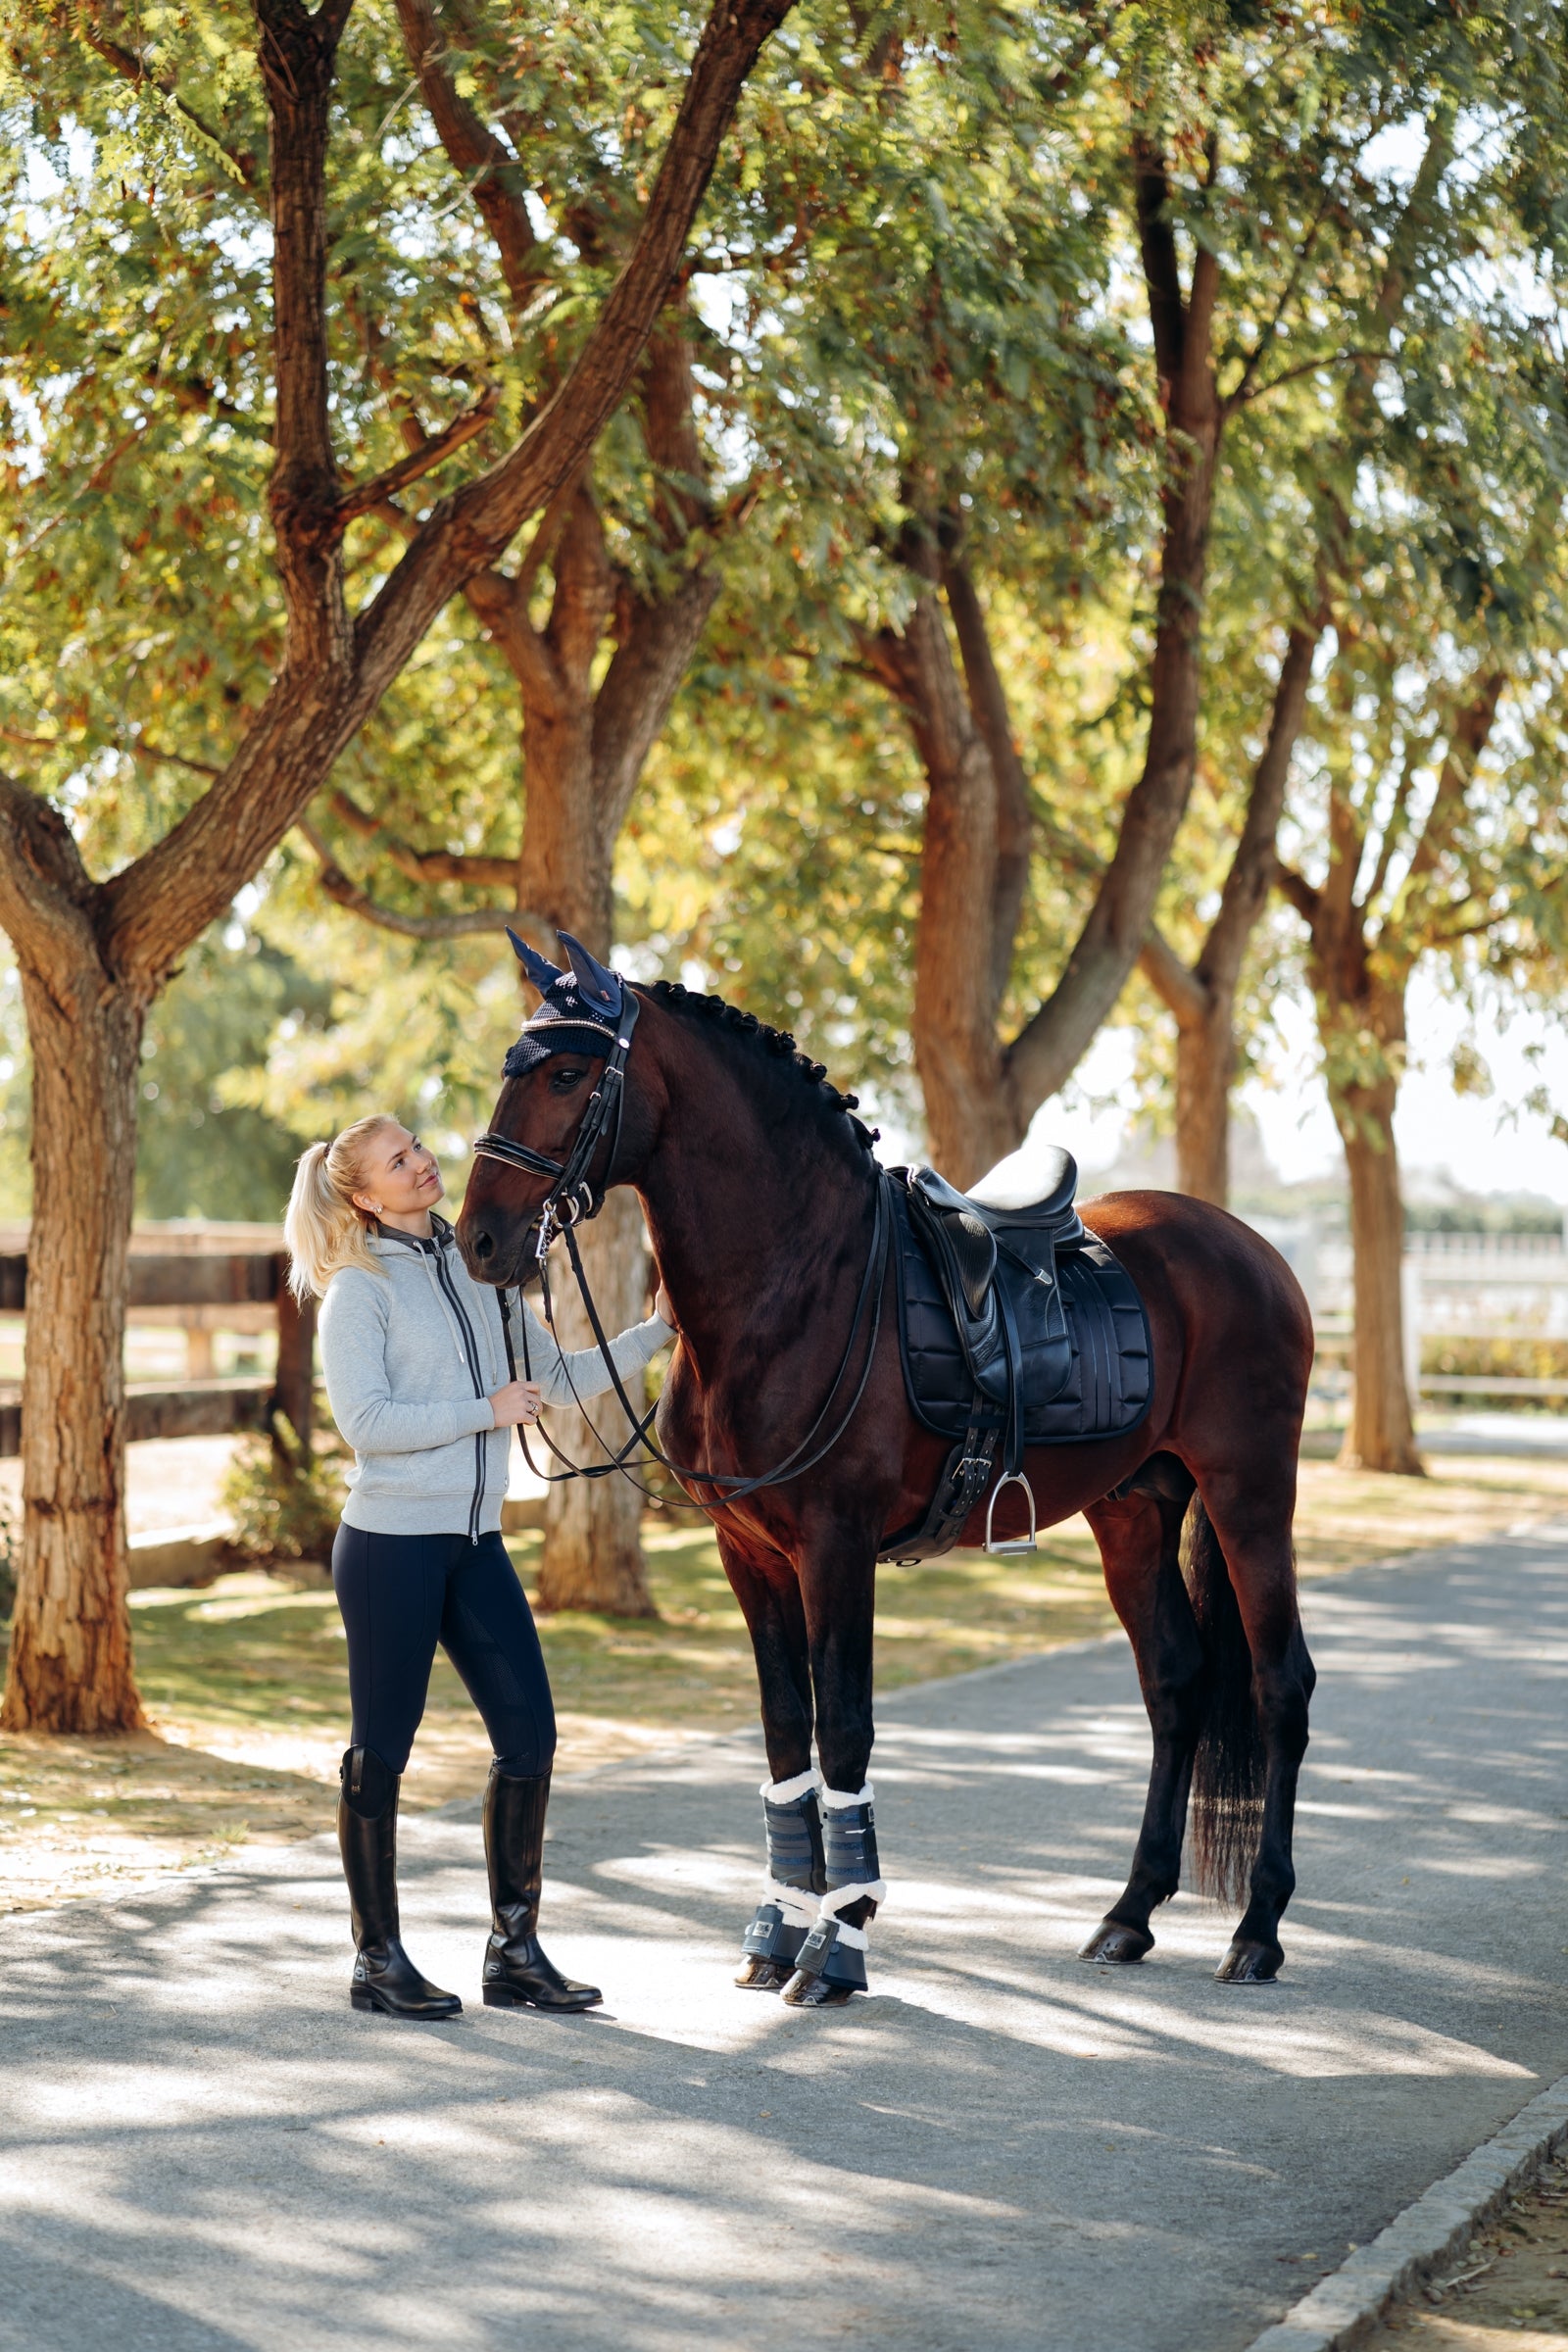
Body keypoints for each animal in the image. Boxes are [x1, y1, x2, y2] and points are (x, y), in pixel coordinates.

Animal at [457, 932, 1317, 2007]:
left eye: (568, 1074)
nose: (479, 1239)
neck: (794, 1284)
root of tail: (1251, 1247)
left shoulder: (838, 1546)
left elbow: (846, 1730)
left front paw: (837, 1947)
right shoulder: (750, 1553)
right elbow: (788, 1730)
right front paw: (779, 1930)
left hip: (1251, 1496)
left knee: (1281, 1686)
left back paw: (1258, 1929)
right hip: (1134, 1512)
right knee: (1175, 1684)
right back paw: (1127, 1915)